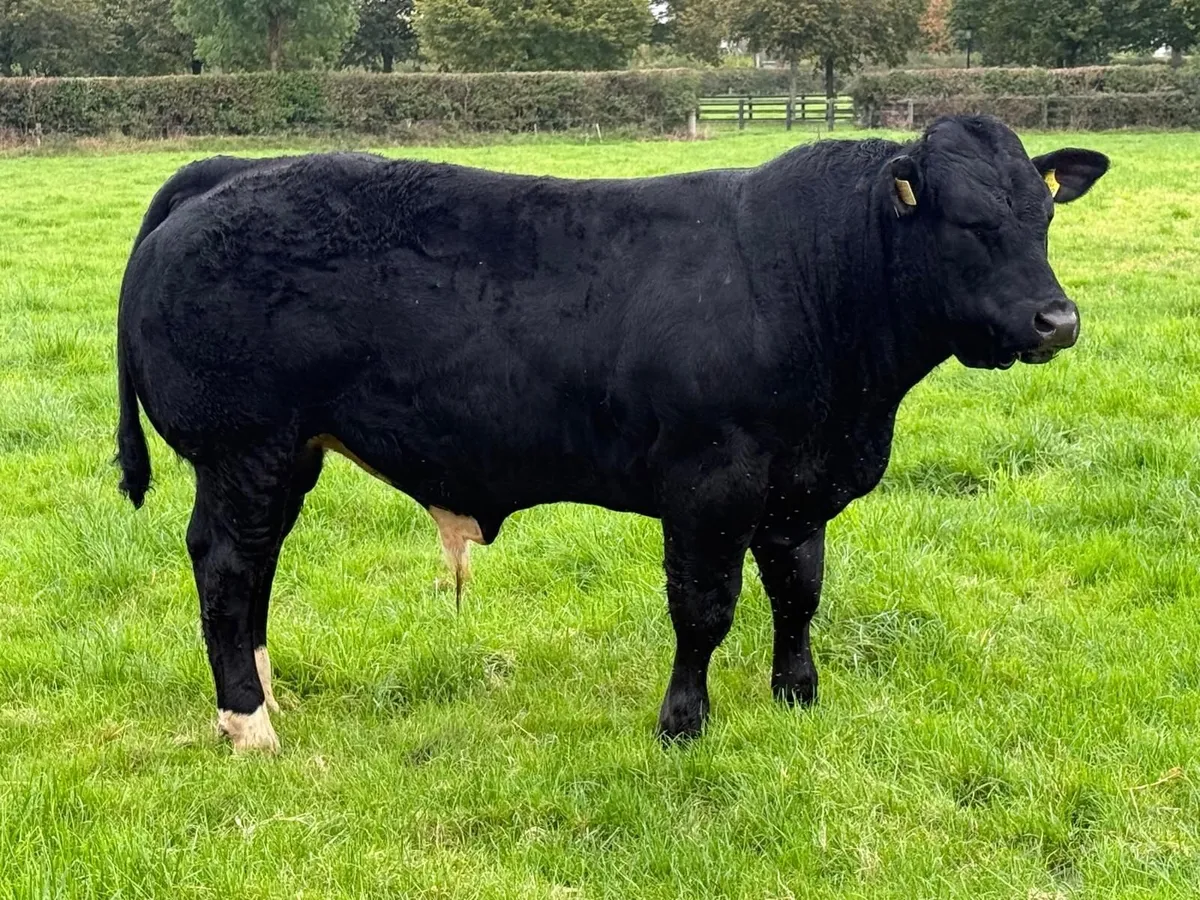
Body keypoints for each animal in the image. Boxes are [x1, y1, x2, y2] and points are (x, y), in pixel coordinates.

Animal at [115, 115, 1108, 753]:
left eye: (1046, 213)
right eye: (970, 222)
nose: (1056, 320)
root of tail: (228, 170)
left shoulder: (800, 489)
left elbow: (799, 591)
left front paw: (797, 696)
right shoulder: (710, 484)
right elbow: (705, 608)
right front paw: (682, 725)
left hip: (286, 455)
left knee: (255, 567)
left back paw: (261, 695)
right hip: (244, 448)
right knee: (227, 566)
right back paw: (249, 723)